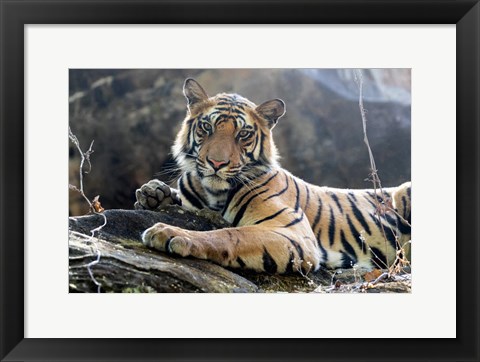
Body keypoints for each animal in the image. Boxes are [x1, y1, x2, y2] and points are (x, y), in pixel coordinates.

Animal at [133, 78, 410, 272]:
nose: (216, 162)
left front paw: (171, 233)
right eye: (207, 127)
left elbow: (230, 234)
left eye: (243, 134)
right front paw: (153, 192)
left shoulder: (293, 233)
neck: (213, 193)